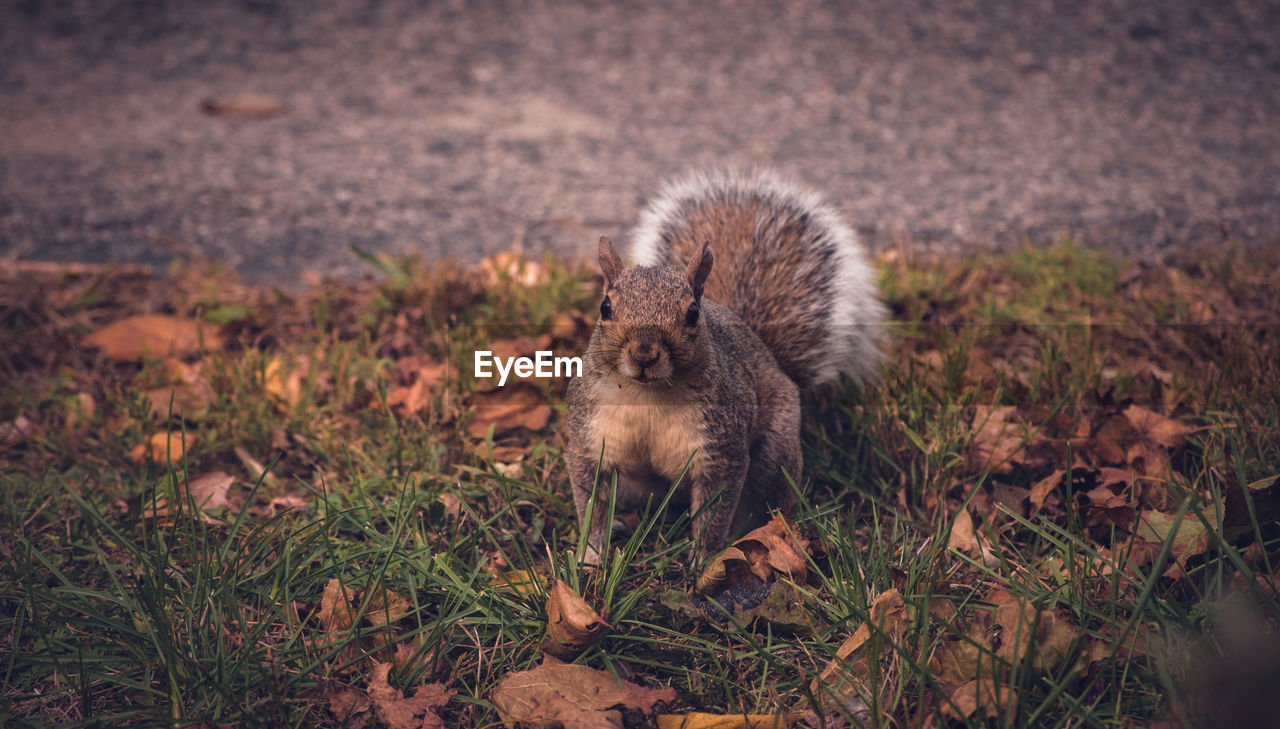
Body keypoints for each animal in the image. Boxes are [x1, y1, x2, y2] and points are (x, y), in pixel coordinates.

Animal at [565, 167, 885, 560]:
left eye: (692, 313)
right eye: (605, 307)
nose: (643, 355)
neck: (646, 395)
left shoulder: (721, 448)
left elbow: (714, 510)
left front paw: (703, 558)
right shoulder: (590, 436)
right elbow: (590, 500)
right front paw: (590, 555)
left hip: (773, 452)